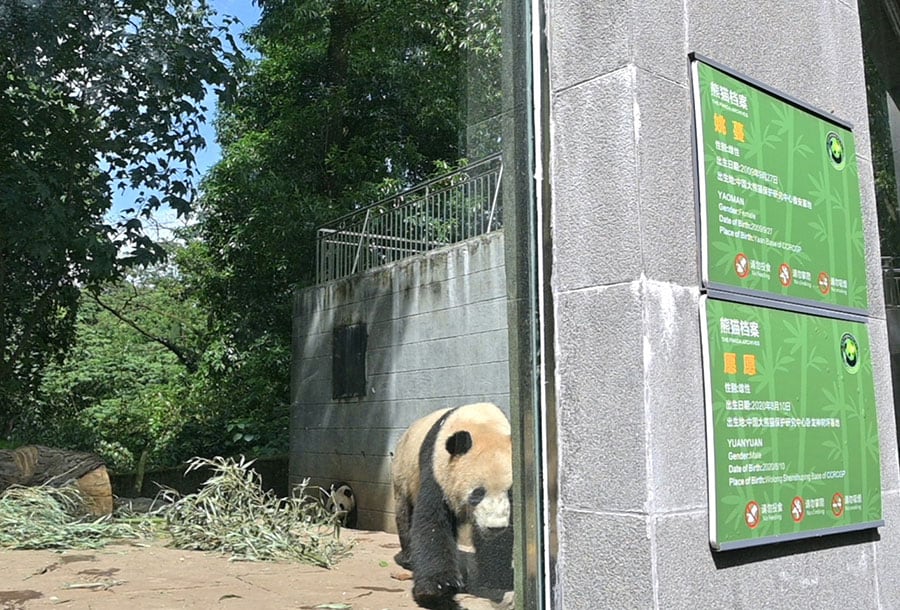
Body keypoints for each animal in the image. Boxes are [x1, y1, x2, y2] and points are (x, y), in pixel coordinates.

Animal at [392, 402, 512, 604]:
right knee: (405, 515)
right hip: (404, 473)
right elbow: (432, 522)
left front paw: (497, 577)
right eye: (478, 493)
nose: (495, 527)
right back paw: (407, 558)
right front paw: (439, 587)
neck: (482, 423)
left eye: (510, 492)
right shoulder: (436, 469)